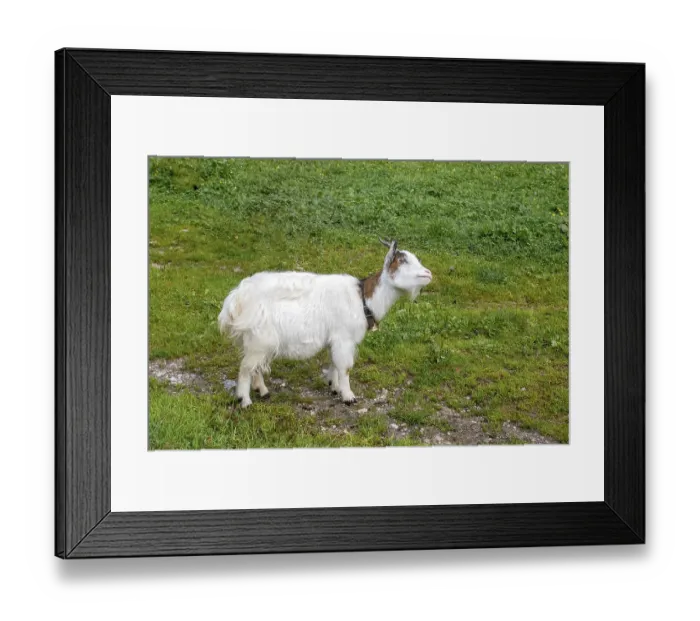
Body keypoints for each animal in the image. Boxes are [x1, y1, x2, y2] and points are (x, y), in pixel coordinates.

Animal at [218, 239, 432, 407]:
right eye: (403, 261)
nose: (428, 273)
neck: (363, 299)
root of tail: (236, 298)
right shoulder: (344, 338)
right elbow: (345, 367)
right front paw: (348, 396)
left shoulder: (335, 339)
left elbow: (334, 363)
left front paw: (334, 387)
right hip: (259, 338)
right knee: (245, 368)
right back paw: (245, 400)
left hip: (257, 341)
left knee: (254, 366)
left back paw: (262, 391)